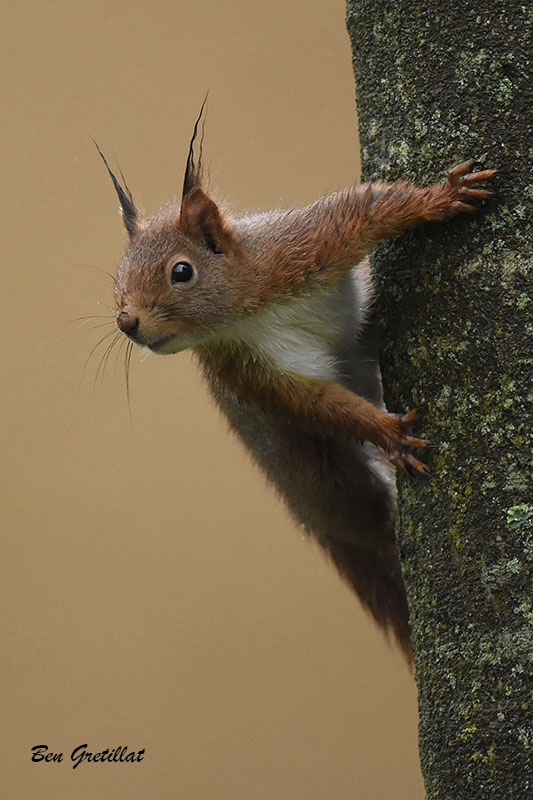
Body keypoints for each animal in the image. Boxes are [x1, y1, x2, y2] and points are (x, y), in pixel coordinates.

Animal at [96, 106, 494, 656]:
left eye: (181, 271)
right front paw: (389, 432)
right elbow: (316, 404)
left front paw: (443, 195)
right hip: (334, 475)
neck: (243, 314)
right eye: (118, 280)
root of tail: (323, 522)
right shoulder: (250, 370)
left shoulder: (300, 247)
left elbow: (369, 208)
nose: (126, 322)